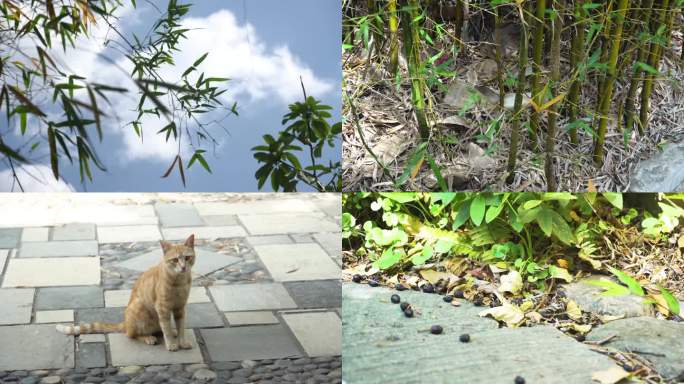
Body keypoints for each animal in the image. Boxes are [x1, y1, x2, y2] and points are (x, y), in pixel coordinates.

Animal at [56, 234, 196, 352]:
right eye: (175, 260)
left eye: (187, 258)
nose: (183, 267)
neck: (180, 282)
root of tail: (125, 323)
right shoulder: (162, 308)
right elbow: (165, 328)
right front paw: (171, 344)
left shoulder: (180, 308)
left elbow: (181, 327)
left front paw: (182, 342)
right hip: (139, 307)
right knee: (131, 334)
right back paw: (148, 337)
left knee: (157, 329)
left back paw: (172, 332)